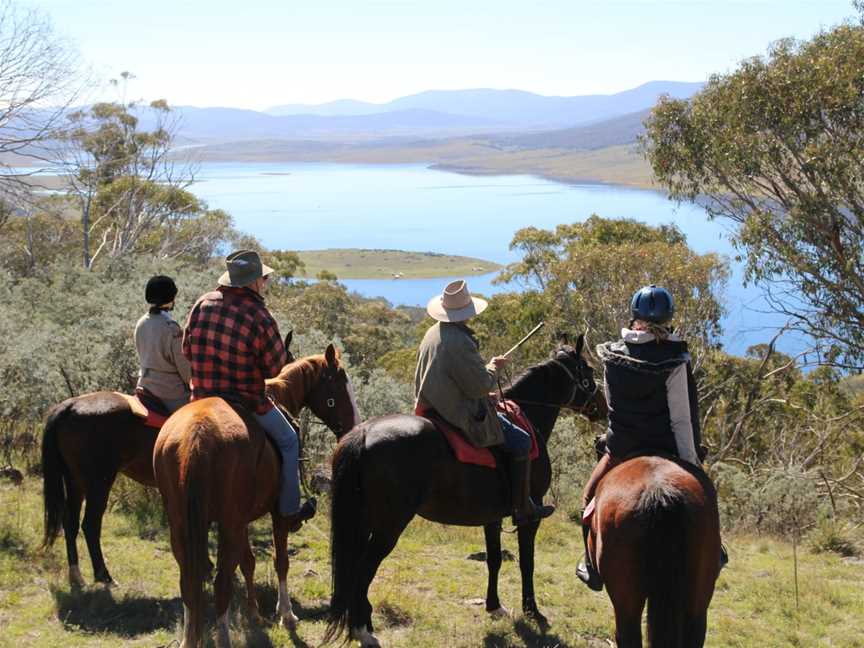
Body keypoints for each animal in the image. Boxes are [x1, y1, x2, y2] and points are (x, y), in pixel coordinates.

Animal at [152, 344, 358, 648]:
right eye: (340, 384)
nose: (353, 427)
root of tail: (197, 433)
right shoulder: (275, 516)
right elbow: (281, 561)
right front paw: (287, 615)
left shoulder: (242, 521)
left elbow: (248, 562)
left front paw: (254, 614)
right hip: (227, 525)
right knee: (221, 583)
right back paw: (224, 638)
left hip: (182, 525)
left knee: (189, 581)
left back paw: (190, 637)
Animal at [324, 336, 608, 644]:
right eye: (588, 371)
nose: (604, 407)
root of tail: (363, 434)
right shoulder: (529, 516)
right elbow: (527, 562)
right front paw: (532, 611)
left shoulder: (491, 517)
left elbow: (494, 559)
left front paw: (494, 606)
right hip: (388, 526)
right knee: (362, 571)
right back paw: (362, 630)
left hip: (363, 521)